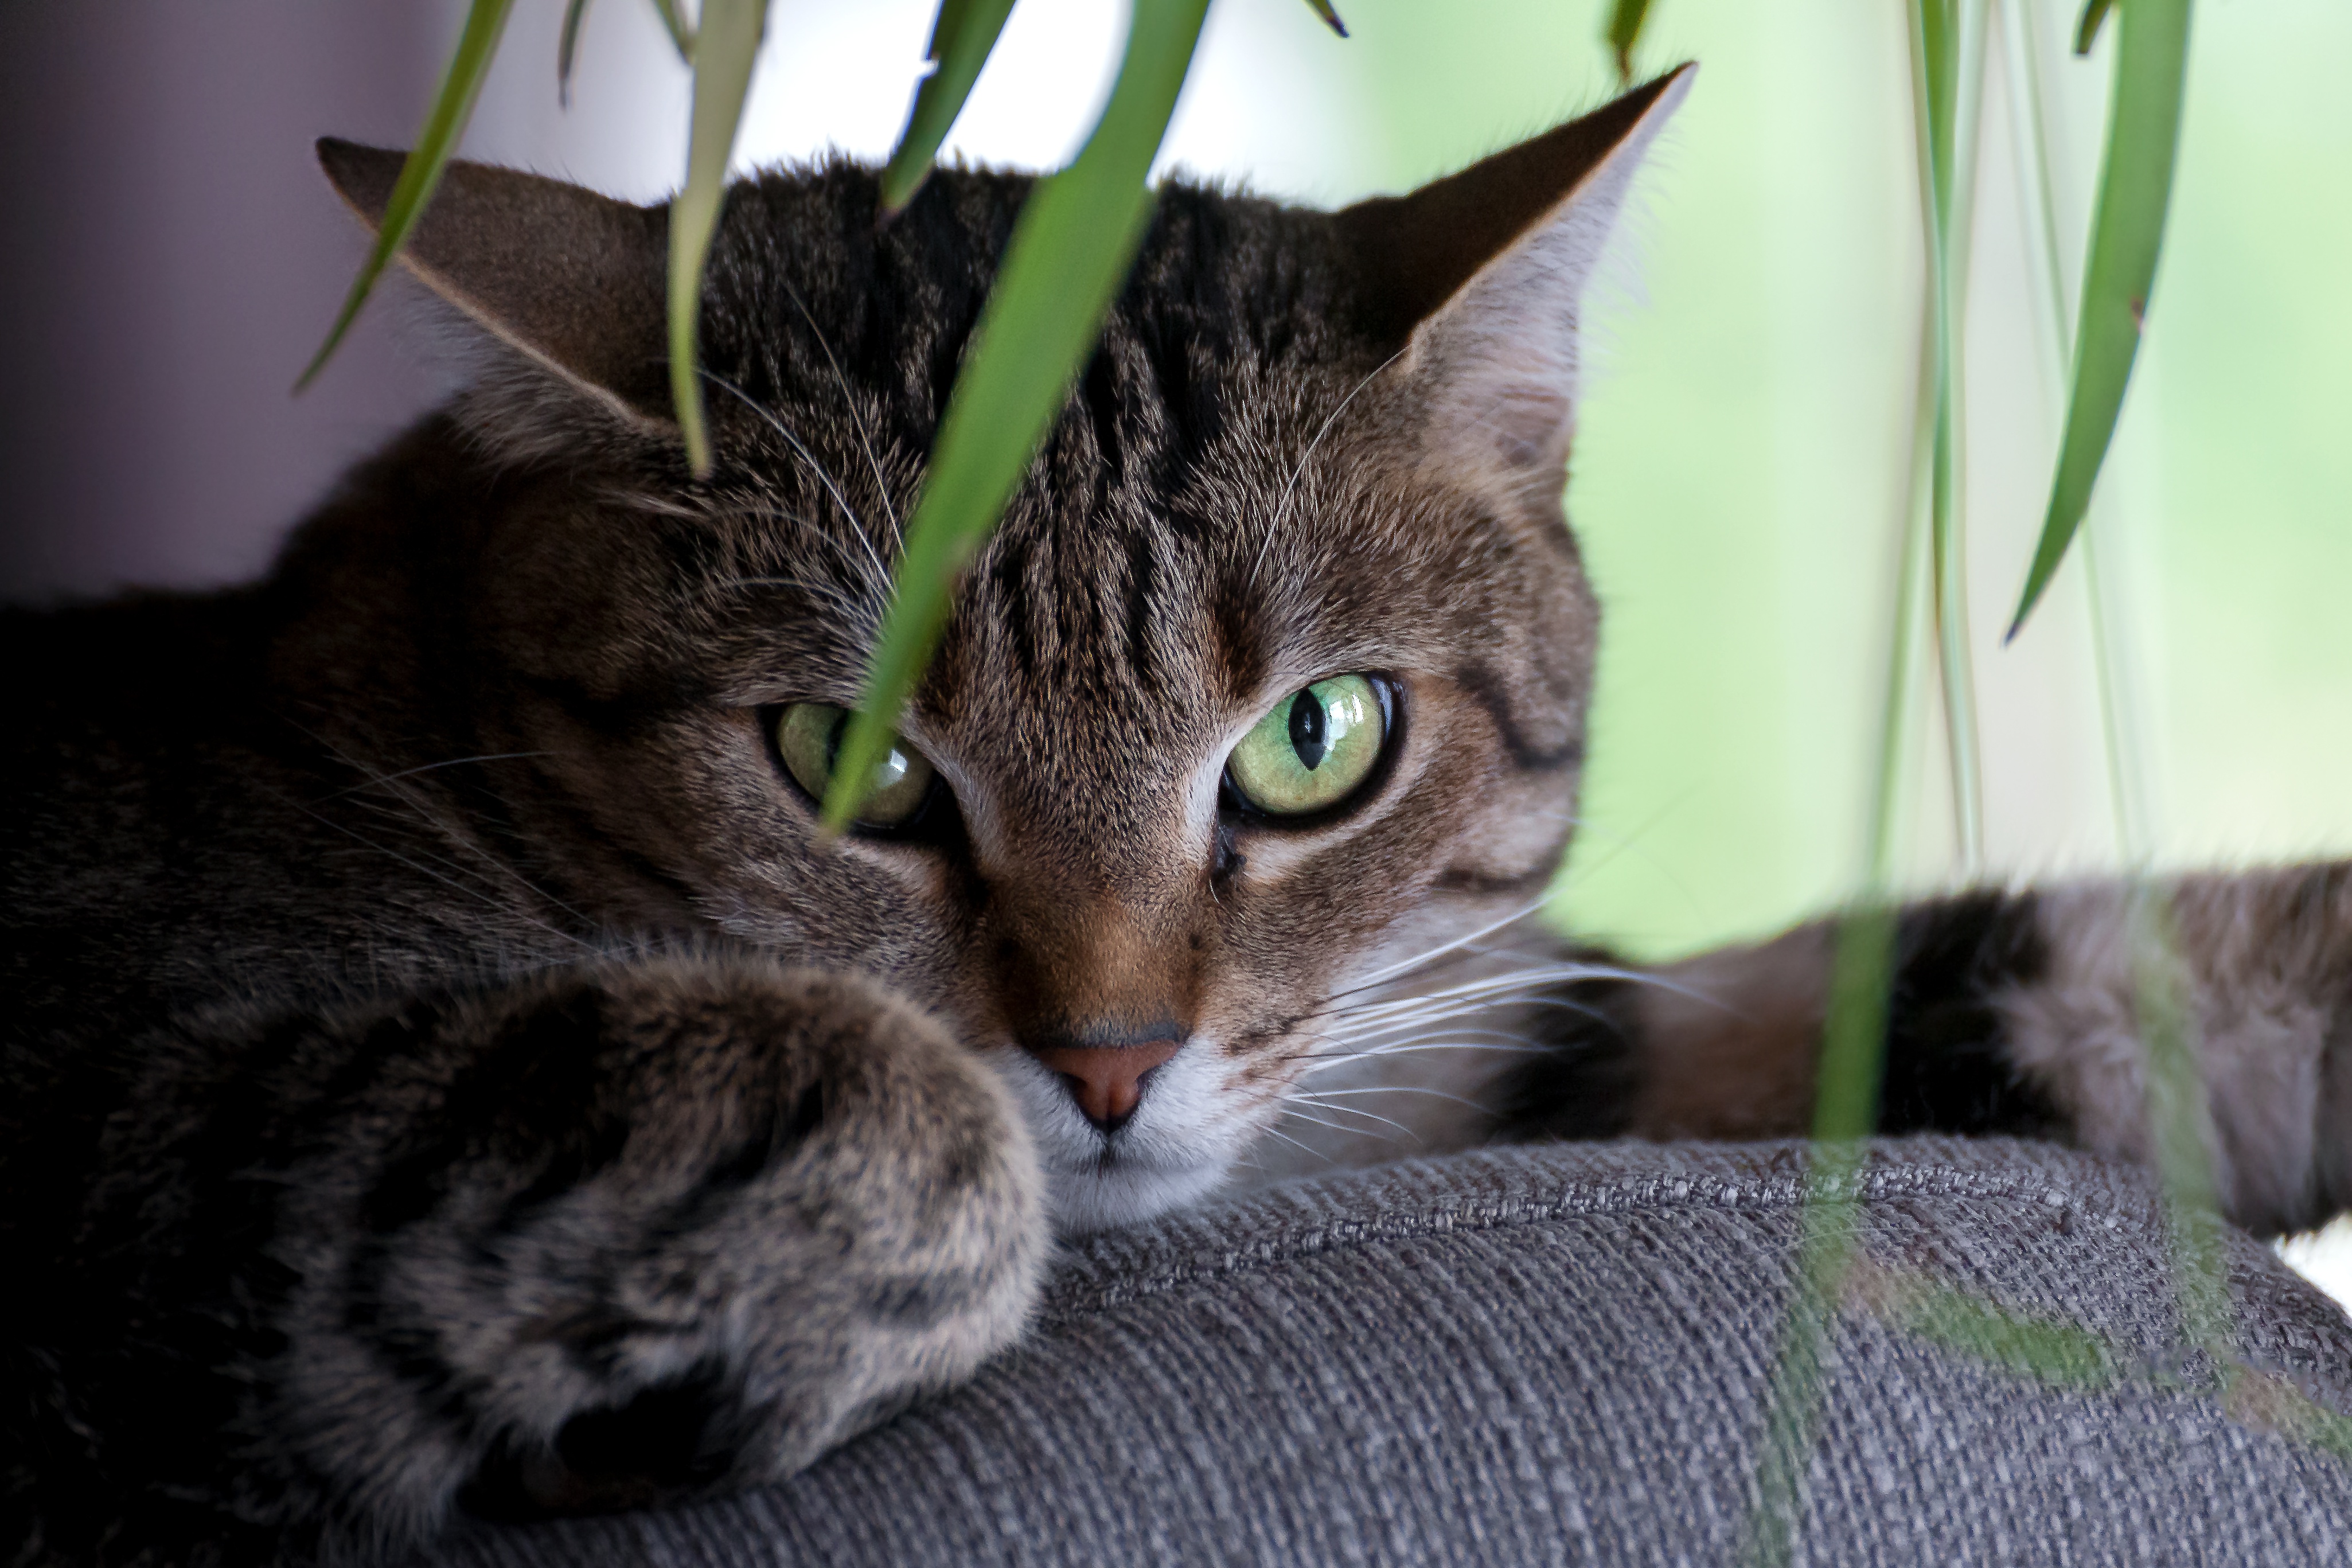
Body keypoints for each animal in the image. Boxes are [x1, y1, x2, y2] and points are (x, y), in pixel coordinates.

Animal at [5, 70, 2352, 1568]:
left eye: (1315, 736)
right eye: (845, 760)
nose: (1111, 1059)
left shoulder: (1463, 1034)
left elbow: (1963, 984)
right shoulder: (129, 1108)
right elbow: (879, 1108)